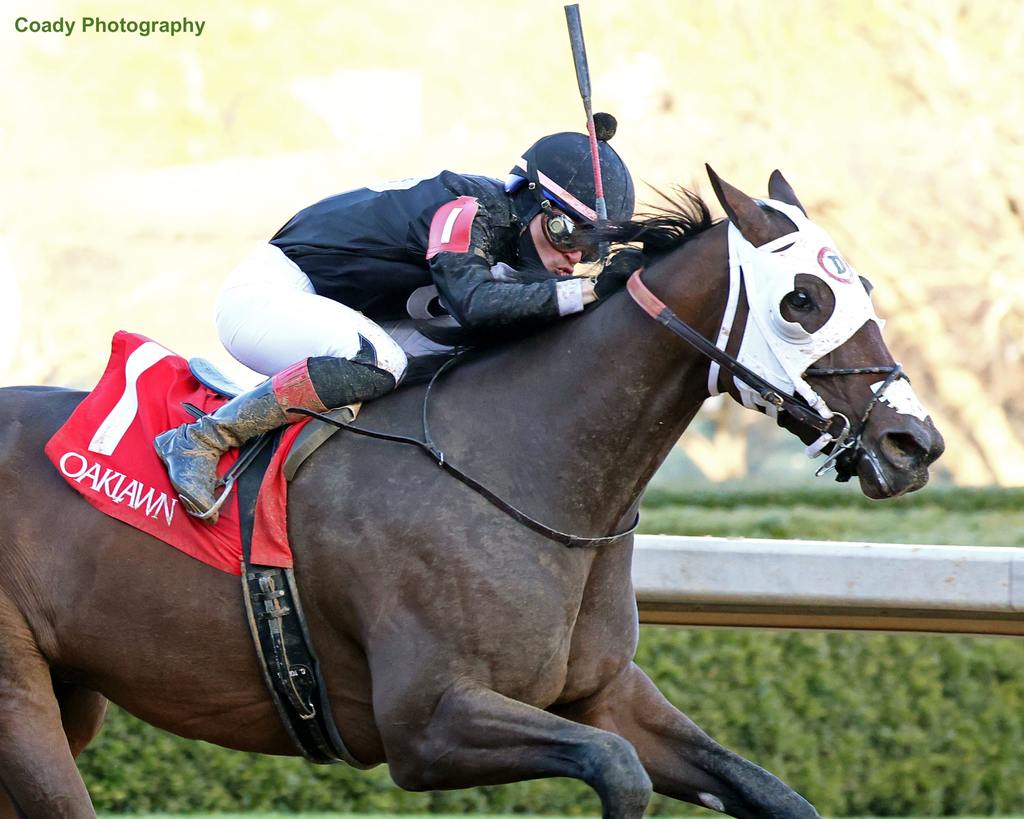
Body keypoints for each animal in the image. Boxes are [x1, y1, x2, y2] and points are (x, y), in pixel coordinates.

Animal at [0, 167, 942, 818]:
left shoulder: (606, 692)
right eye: (802, 298)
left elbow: (769, 792)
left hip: (73, 693)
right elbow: (618, 770)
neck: (524, 469)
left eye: (859, 287)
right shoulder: (427, 723)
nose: (915, 442)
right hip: (20, 699)